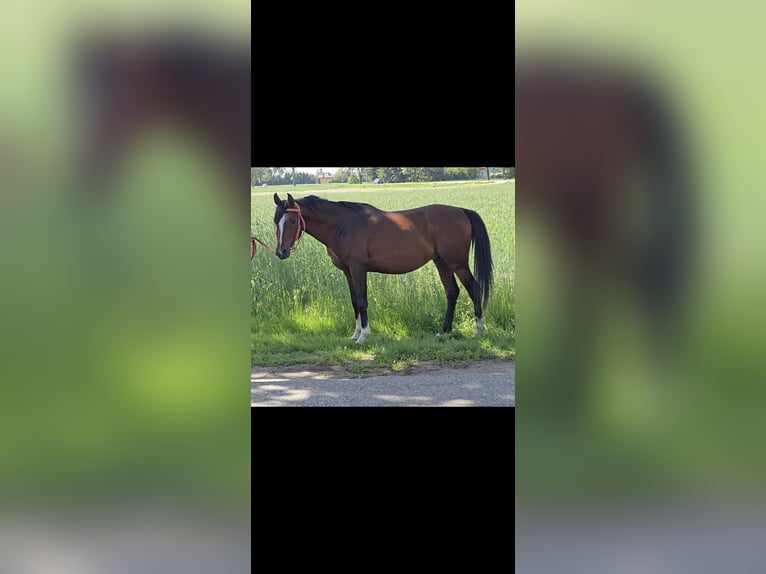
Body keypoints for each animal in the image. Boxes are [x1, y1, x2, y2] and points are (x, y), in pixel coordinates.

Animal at [272, 193, 494, 344]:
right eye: (276, 222)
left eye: (292, 220)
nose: (281, 252)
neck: (343, 225)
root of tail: (461, 210)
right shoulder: (347, 271)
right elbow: (354, 301)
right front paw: (355, 334)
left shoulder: (358, 268)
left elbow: (362, 301)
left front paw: (363, 336)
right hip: (441, 262)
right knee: (452, 292)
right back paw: (445, 331)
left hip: (457, 263)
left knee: (474, 289)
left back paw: (478, 331)